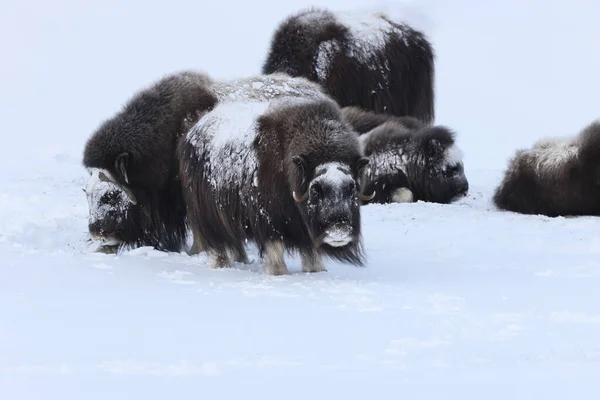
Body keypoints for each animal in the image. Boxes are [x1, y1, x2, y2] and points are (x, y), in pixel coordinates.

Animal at [178, 95, 376, 276]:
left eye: (351, 187)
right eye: (315, 189)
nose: (338, 230)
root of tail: (193, 130)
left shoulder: (302, 224)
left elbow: (310, 248)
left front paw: (316, 270)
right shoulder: (268, 215)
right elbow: (274, 245)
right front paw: (278, 272)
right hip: (208, 212)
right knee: (218, 240)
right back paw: (222, 264)